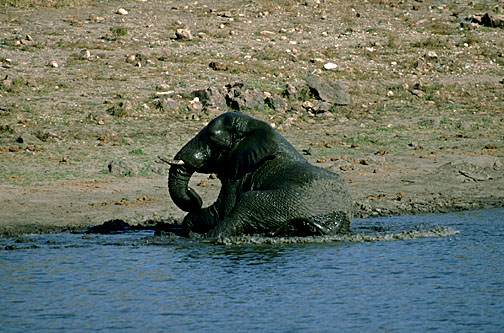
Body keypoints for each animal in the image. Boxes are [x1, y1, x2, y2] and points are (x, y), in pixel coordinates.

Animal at [167, 113, 352, 237]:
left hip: (282, 202)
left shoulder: (238, 176)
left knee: (243, 206)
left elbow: (221, 211)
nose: (192, 191)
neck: (254, 127)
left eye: (211, 140)